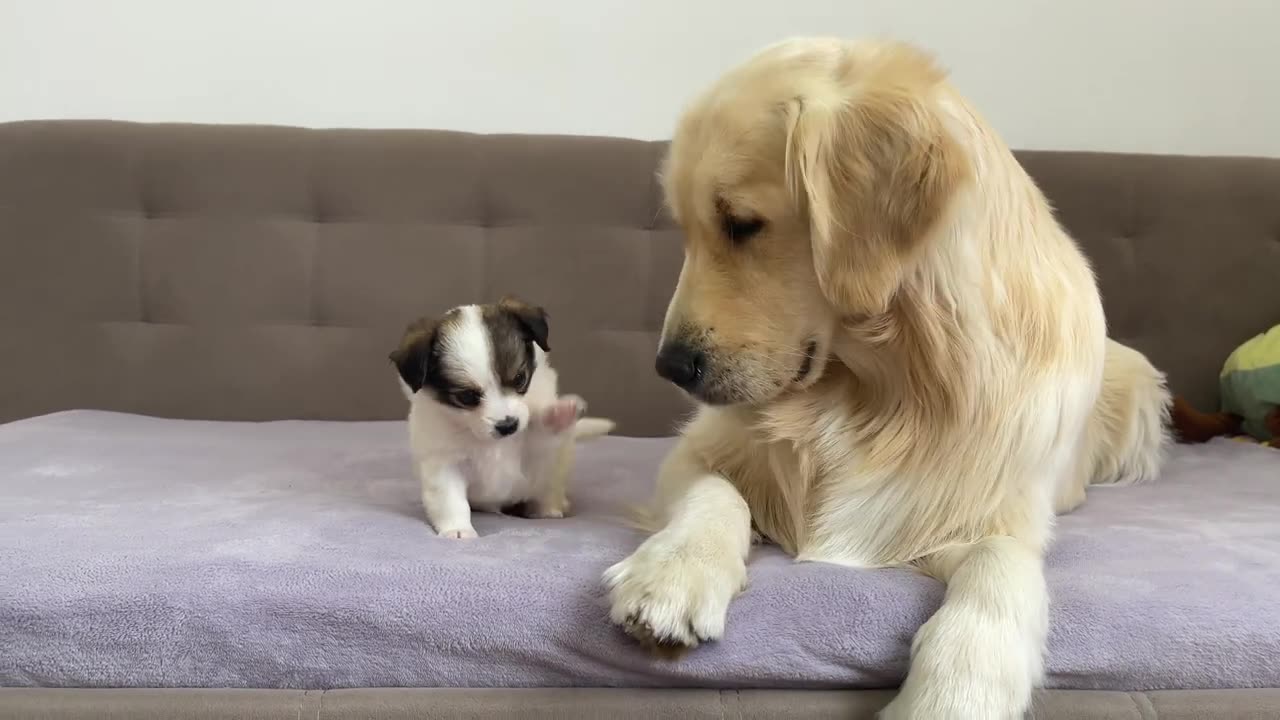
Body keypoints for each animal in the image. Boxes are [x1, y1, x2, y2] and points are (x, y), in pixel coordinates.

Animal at [386, 294, 611, 535]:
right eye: (466, 397)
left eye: (520, 378)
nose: (508, 426)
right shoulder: (444, 462)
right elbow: (450, 499)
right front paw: (458, 529)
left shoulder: (534, 452)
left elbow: (540, 434)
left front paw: (559, 414)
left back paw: (549, 508)